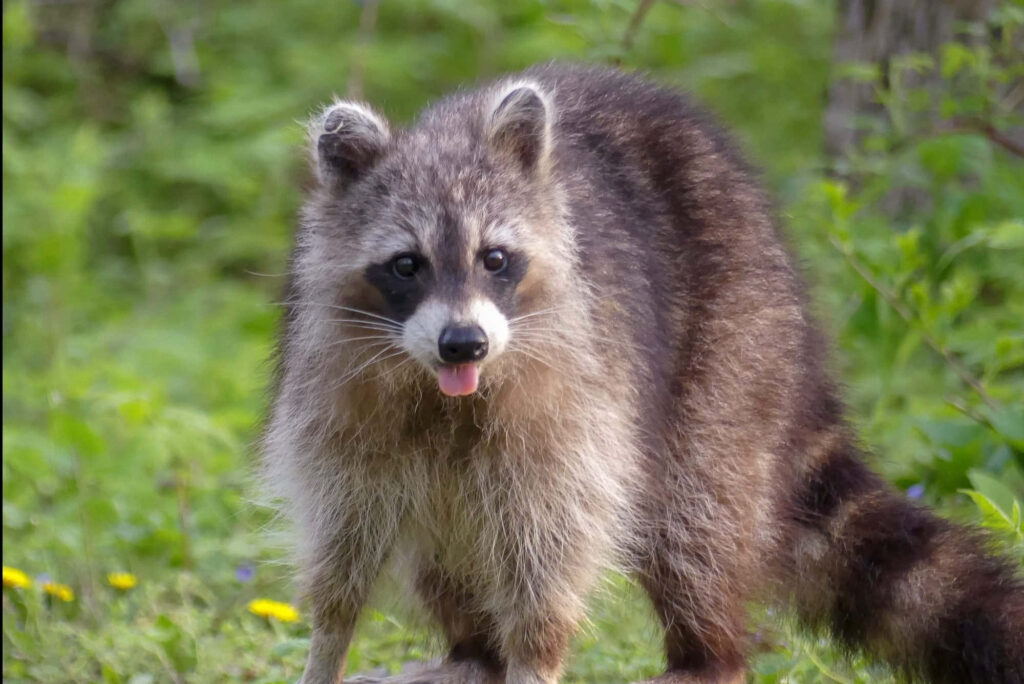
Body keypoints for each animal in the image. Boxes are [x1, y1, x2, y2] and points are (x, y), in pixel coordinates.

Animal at [263, 63, 1024, 684]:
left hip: (734, 338)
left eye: (495, 258)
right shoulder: (335, 385)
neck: (442, 392)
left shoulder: (577, 387)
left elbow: (555, 539)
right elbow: (343, 537)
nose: (465, 344)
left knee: (695, 514)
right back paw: (472, 652)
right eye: (406, 264)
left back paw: (706, 655)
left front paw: (534, 657)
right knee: (447, 539)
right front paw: (328, 646)